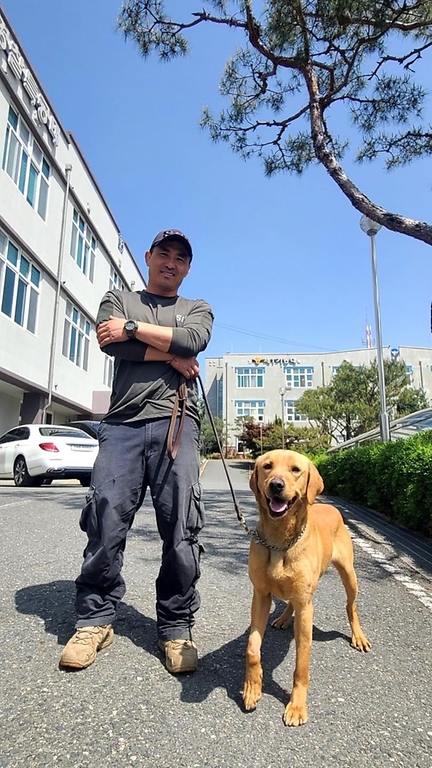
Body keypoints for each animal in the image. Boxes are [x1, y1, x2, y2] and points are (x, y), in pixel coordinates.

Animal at [243, 448, 372, 724]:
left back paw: (358, 636)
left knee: (351, 606)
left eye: (295, 470)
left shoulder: (306, 609)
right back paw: (283, 618)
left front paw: (297, 706)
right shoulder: (260, 595)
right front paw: (252, 689)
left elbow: (301, 662)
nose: (276, 485)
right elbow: (252, 649)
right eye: (267, 466)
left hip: (349, 575)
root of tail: (331, 507)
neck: (279, 540)